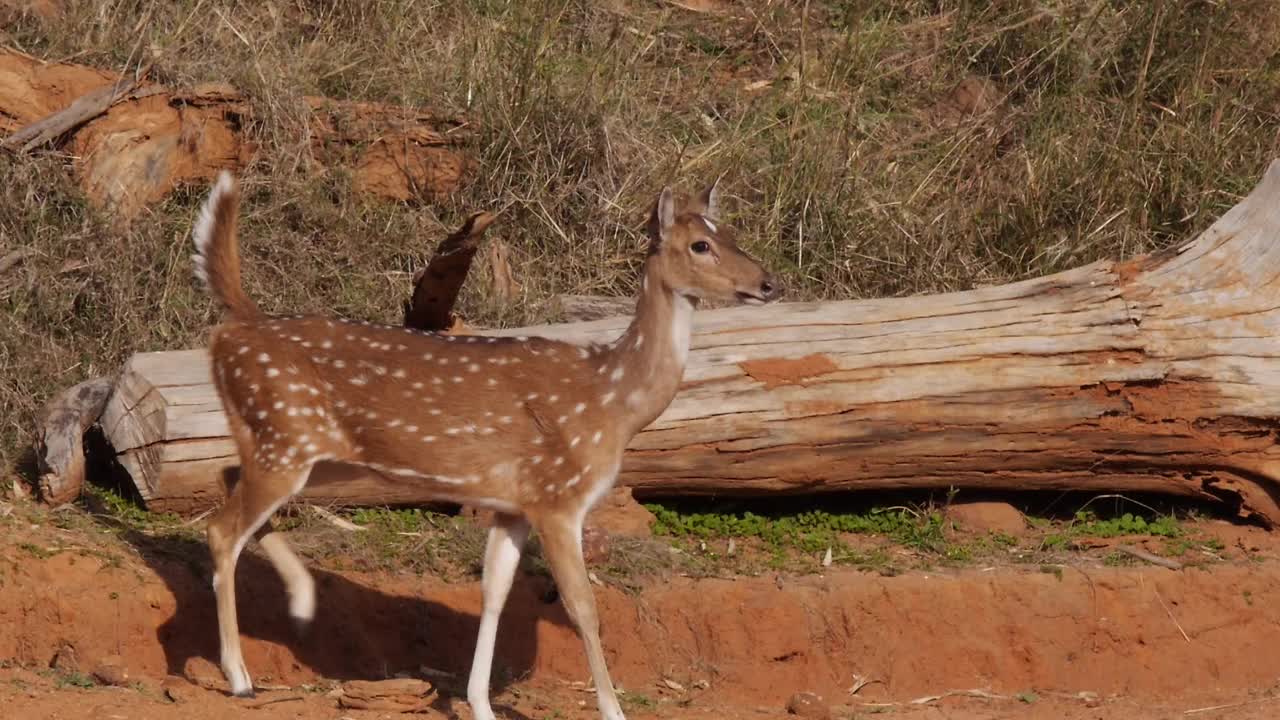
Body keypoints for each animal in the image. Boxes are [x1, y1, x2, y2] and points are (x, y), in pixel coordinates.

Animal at [189, 169, 778, 717]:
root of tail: (234, 328)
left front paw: (481, 704)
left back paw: (301, 598)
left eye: (731, 232)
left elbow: (494, 593)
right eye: (699, 245)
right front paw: (614, 711)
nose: (770, 282)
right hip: (286, 439)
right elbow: (583, 605)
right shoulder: (557, 495)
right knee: (221, 530)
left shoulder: (512, 504)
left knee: (226, 481)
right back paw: (240, 676)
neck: (614, 401)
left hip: (311, 452)